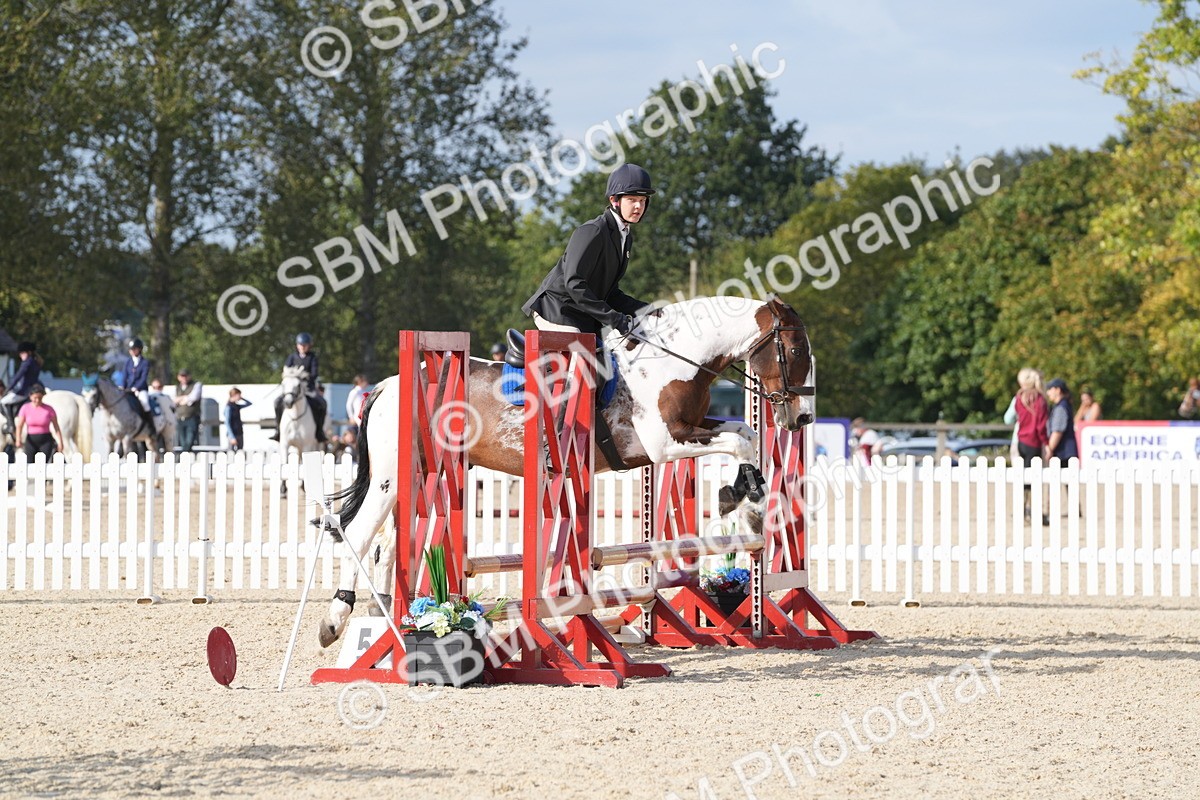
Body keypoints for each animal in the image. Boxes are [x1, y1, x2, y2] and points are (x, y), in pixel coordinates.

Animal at [313, 295, 813, 648]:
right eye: (792, 349)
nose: (802, 418)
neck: (673, 361)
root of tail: (386, 384)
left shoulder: (689, 429)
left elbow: (745, 433)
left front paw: (746, 495)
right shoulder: (663, 443)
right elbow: (740, 440)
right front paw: (746, 501)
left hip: (417, 478)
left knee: (389, 546)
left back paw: (387, 620)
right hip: (393, 477)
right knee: (359, 534)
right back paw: (335, 621)